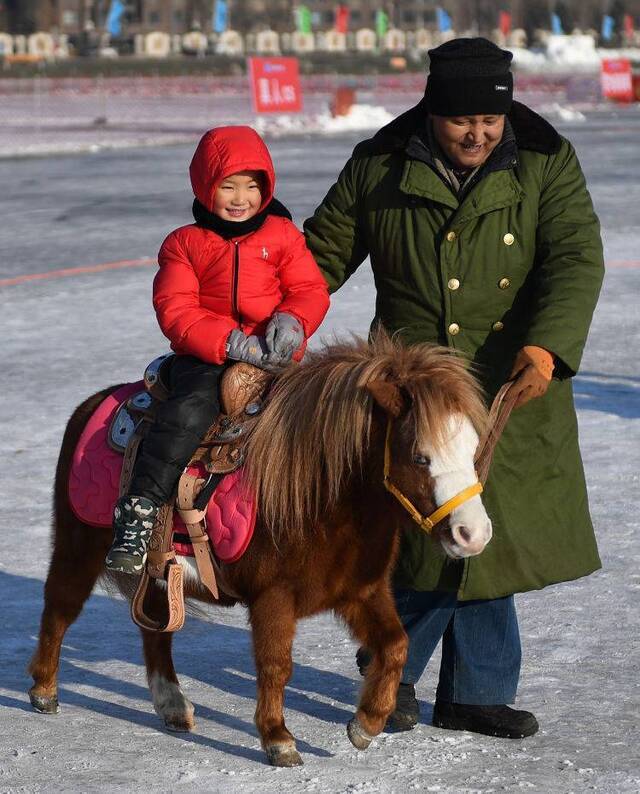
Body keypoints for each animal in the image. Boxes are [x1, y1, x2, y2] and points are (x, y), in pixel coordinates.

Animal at [27, 332, 492, 764]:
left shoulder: (361, 592)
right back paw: (44, 690)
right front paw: (278, 739)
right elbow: (275, 666)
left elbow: (396, 645)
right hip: (79, 546)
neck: (317, 492)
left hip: (159, 572)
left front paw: (366, 723)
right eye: (420, 457)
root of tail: (92, 404)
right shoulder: (273, 598)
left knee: (155, 629)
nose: (474, 534)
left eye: (472, 448)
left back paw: (172, 705)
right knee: (60, 607)